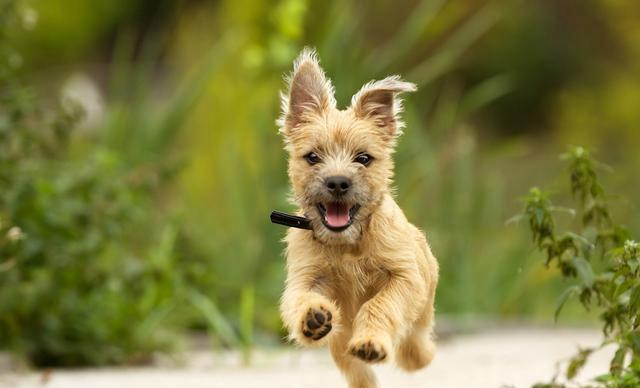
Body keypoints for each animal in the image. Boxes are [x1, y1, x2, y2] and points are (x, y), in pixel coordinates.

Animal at [278, 48, 438, 388]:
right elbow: (299, 299)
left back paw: (416, 355)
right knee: (356, 371)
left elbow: (379, 305)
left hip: (421, 312)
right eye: (312, 157)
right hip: (340, 346)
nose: (338, 182)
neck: (347, 245)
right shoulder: (305, 277)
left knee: (414, 347)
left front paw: (371, 342)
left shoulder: (404, 277)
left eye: (363, 158)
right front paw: (312, 316)